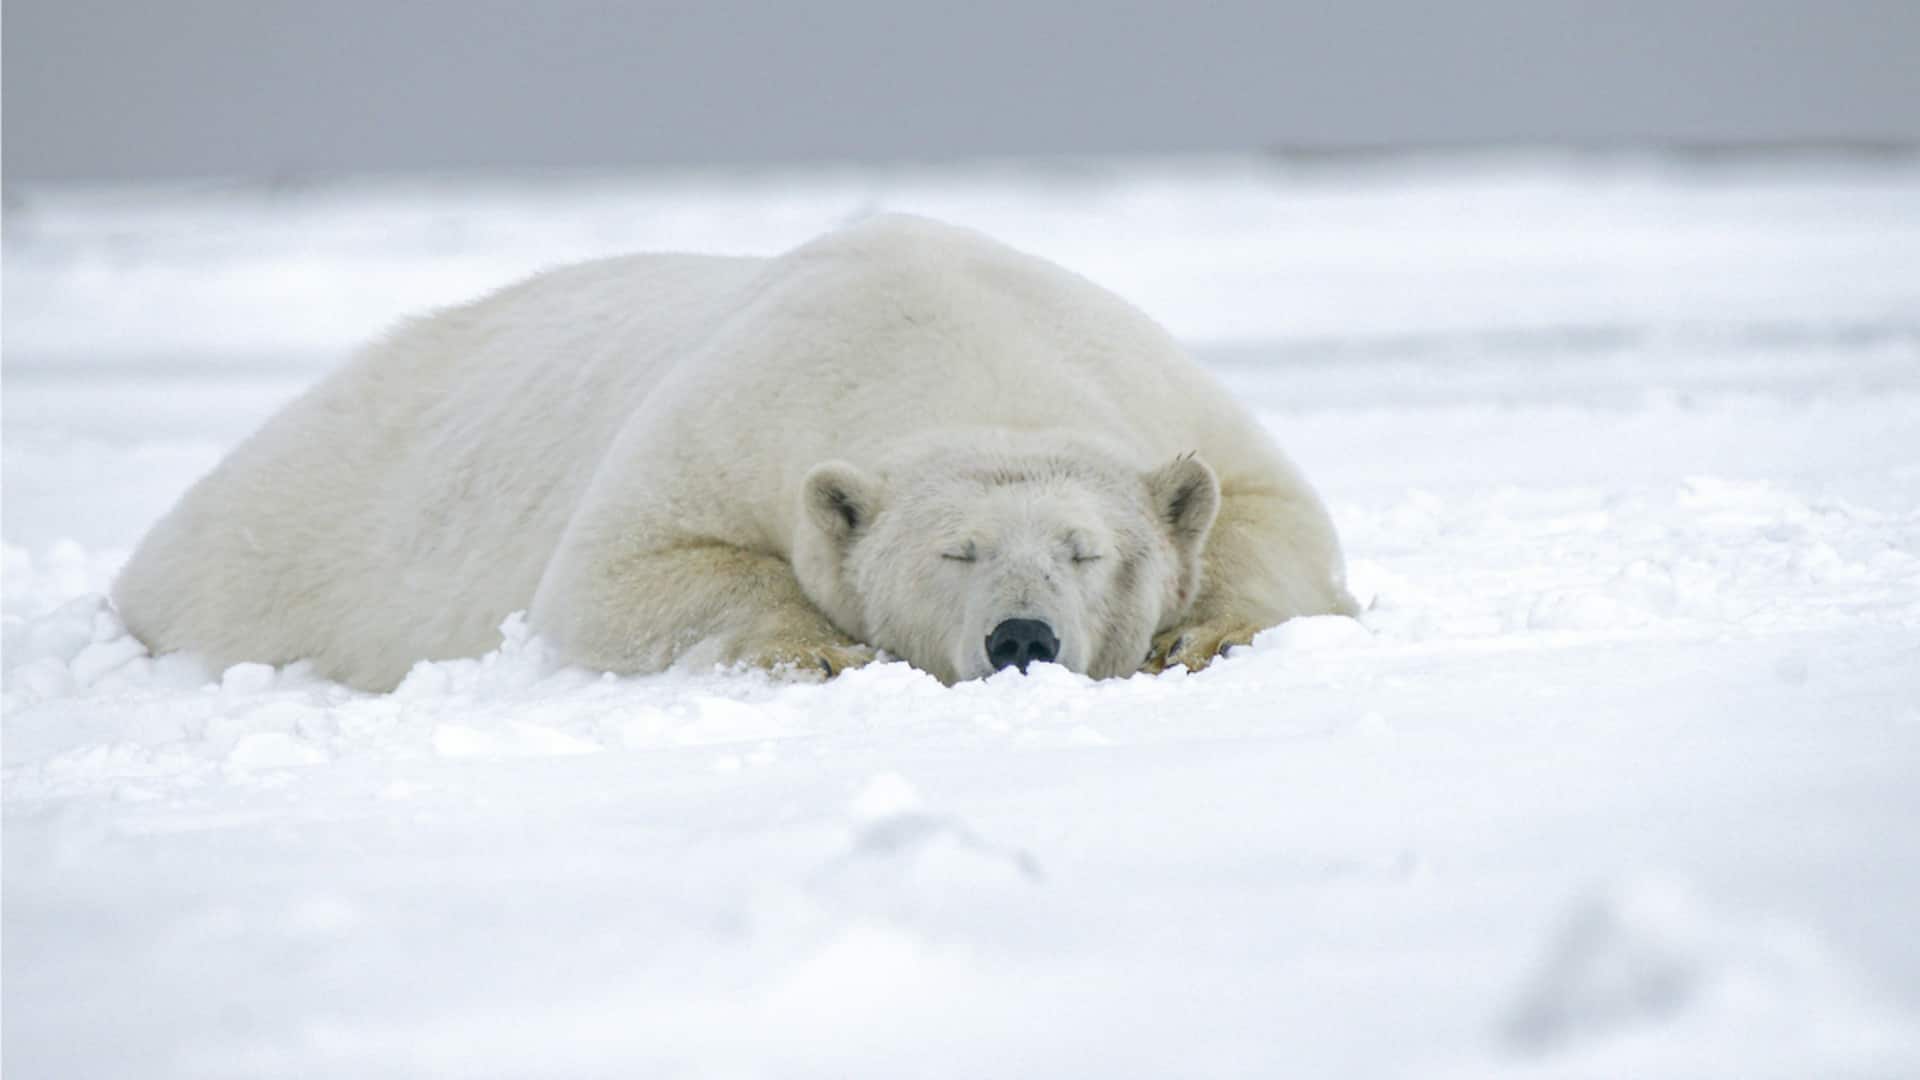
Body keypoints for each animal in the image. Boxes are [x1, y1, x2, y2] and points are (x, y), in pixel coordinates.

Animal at [113, 214, 1357, 691]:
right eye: (953, 554)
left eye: (1084, 550)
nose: (1021, 638)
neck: (951, 340)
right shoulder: (738, 414)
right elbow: (623, 574)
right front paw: (820, 652)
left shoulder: (1148, 380)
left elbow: (1273, 515)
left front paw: (1203, 634)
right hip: (276, 549)